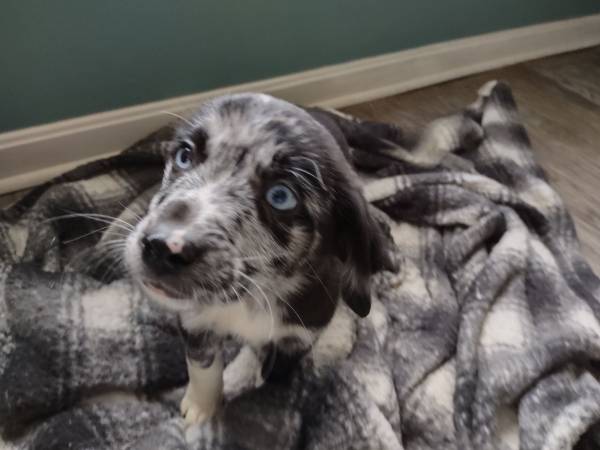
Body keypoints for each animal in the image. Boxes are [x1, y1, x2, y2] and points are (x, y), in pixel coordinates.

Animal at [123, 93, 394, 424]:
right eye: (184, 156)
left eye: (281, 196)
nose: (162, 247)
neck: (252, 296)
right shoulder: (194, 322)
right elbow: (203, 369)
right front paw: (202, 409)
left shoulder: (297, 338)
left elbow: (273, 379)